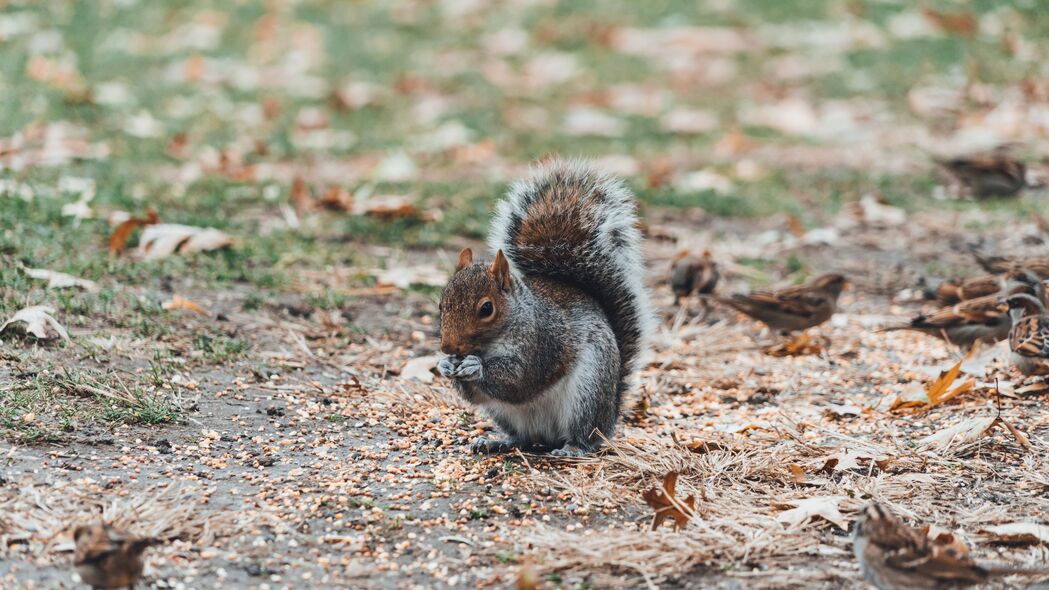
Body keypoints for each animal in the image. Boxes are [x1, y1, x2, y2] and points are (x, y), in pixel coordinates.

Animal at [432, 157, 646, 455]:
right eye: (442, 305)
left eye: (486, 309)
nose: (448, 348)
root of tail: (609, 419)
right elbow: (475, 395)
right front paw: (445, 365)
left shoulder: (542, 343)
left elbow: (519, 379)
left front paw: (475, 366)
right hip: (504, 413)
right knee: (522, 437)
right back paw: (497, 441)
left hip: (587, 393)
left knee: (583, 434)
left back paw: (573, 448)